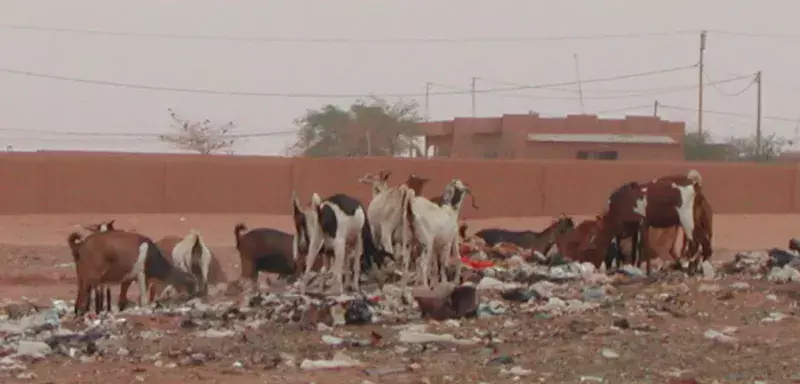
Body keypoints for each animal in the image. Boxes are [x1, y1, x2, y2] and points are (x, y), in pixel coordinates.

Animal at [69, 231, 197, 316]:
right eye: (191, 285)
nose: (193, 297)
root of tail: (81, 245)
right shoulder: (141, 274)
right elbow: (144, 298)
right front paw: (146, 309)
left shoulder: (128, 279)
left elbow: (123, 298)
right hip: (91, 276)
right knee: (84, 292)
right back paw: (84, 312)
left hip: (81, 274)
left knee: (81, 292)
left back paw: (78, 312)